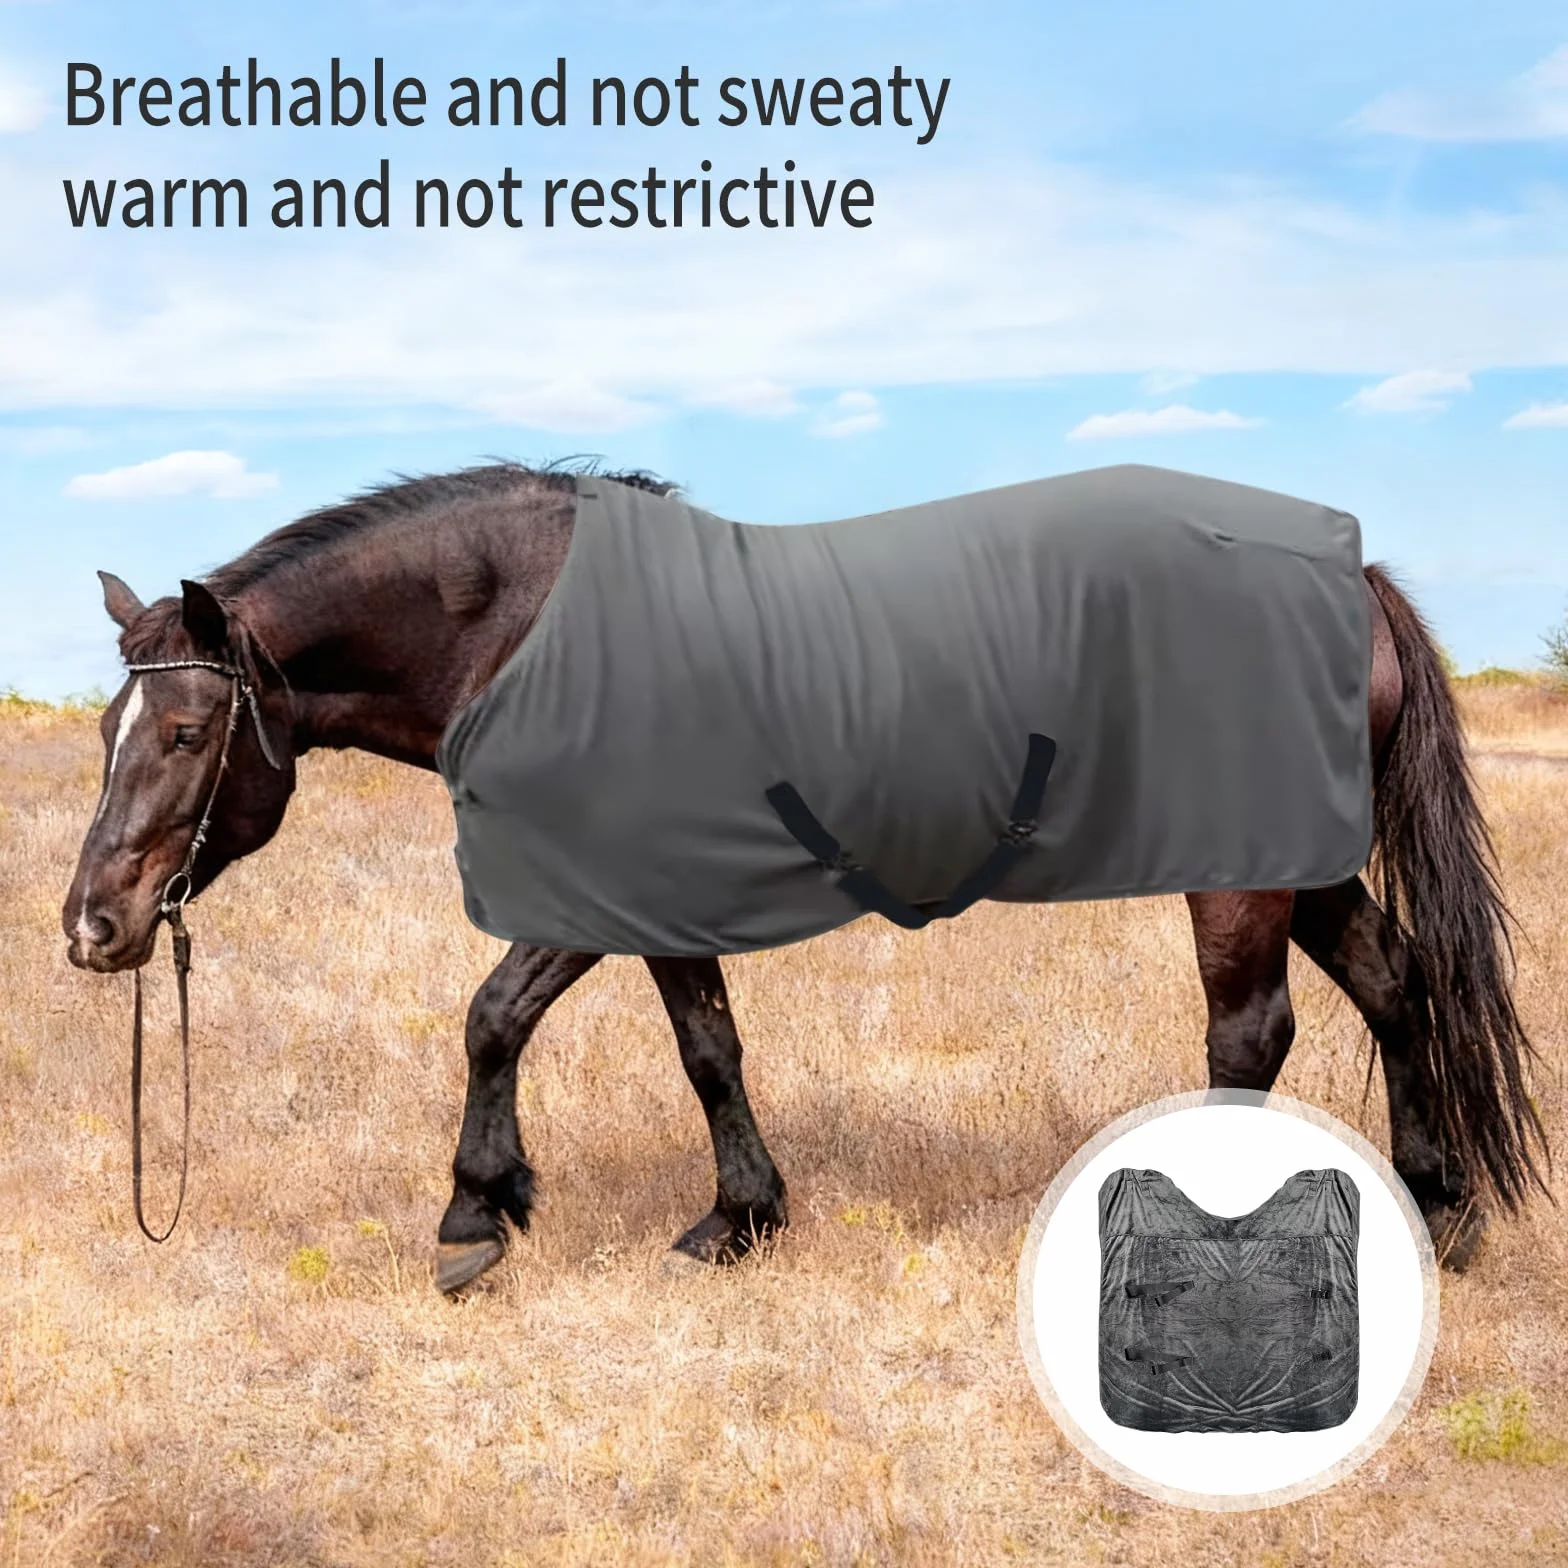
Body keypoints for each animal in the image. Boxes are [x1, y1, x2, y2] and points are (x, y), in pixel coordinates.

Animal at [60, 461, 1547, 1293]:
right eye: (105, 728)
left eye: (184, 733)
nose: (92, 927)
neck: (531, 629)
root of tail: (1345, 578)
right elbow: (706, 1043)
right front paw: (739, 1218)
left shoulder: (601, 883)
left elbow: (500, 1018)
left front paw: (477, 1212)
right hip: (1307, 868)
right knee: (1398, 989)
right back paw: (1440, 1212)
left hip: (1238, 878)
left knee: (1250, 1034)